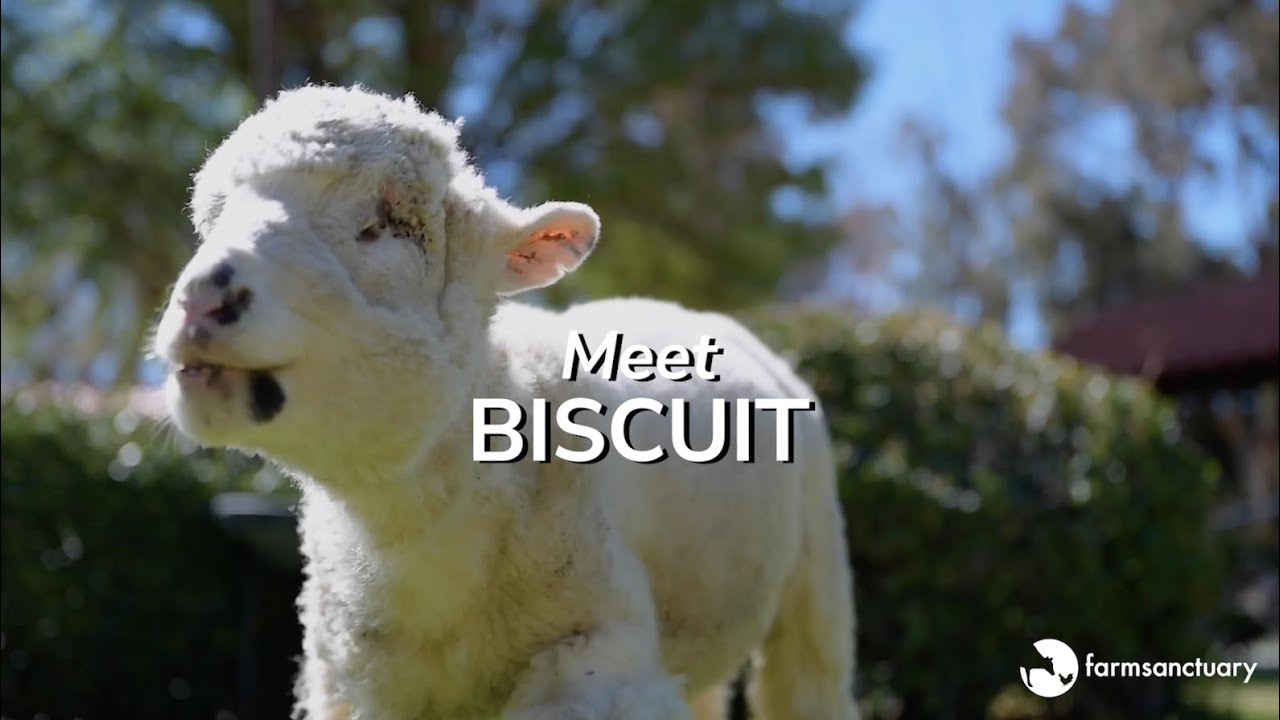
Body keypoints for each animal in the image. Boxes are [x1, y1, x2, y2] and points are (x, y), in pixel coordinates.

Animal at [151, 84, 857, 720]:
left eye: (385, 227)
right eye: (208, 223)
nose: (202, 299)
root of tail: (680, 308)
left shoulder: (596, 654)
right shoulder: (348, 684)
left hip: (816, 579)